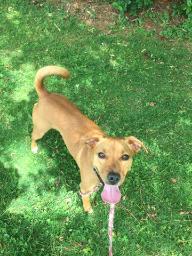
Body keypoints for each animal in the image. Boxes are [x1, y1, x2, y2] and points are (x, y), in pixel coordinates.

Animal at [31, 65, 146, 212]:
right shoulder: (84, 188)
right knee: (32, 135)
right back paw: (34, 147)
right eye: (101, 154)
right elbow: (85, 198)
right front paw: (88, 208)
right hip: (41, 129)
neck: (93, 167)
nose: (113, 178)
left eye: (125, 157)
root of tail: (46, 95)